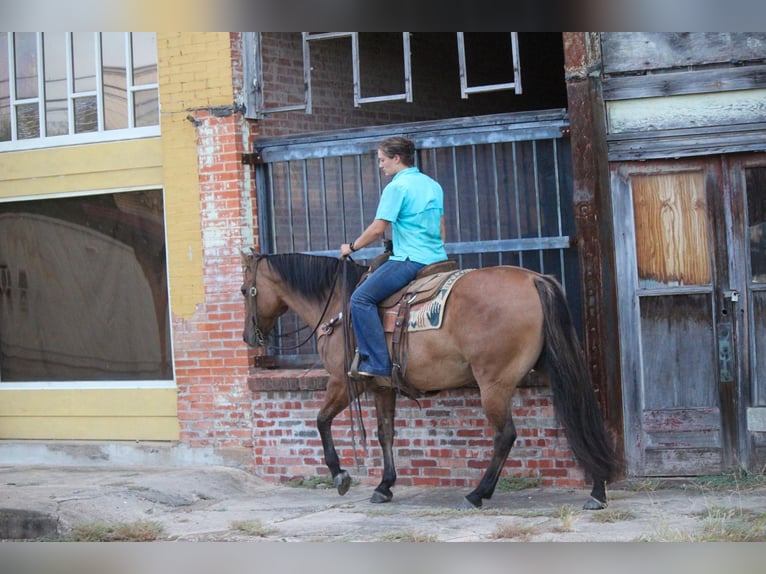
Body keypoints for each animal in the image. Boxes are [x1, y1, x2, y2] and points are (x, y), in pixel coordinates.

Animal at [243, 253, 620, 512]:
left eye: (247, 289)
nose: (249, 337)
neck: (336, 305)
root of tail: (533, 279)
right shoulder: (381, 388)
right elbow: (385, 433)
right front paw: (384, 486)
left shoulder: (342, 382)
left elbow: (321, 421)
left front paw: (340, 475)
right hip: (550, 368)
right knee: (578, 414)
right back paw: (597, 490)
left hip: (494, 384)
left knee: (505, 436)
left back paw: (476, 494)